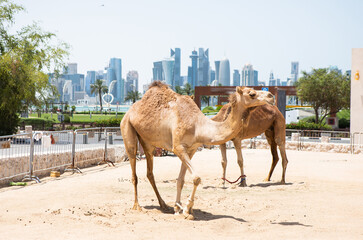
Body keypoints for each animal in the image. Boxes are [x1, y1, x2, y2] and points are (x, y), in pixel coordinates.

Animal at [121, 81, 274, 219]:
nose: (271, 96)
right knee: (134, 168)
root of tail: (129, 111)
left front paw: (177, 207)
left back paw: (163, 205)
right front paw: (187, 209)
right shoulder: (178, 147)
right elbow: (196, 178)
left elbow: (181, 180)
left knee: (150, 172)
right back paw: (137, 206)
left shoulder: (191, 149)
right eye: (252, 93)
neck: (198, 126)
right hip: (127, 129)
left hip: (148, 142)